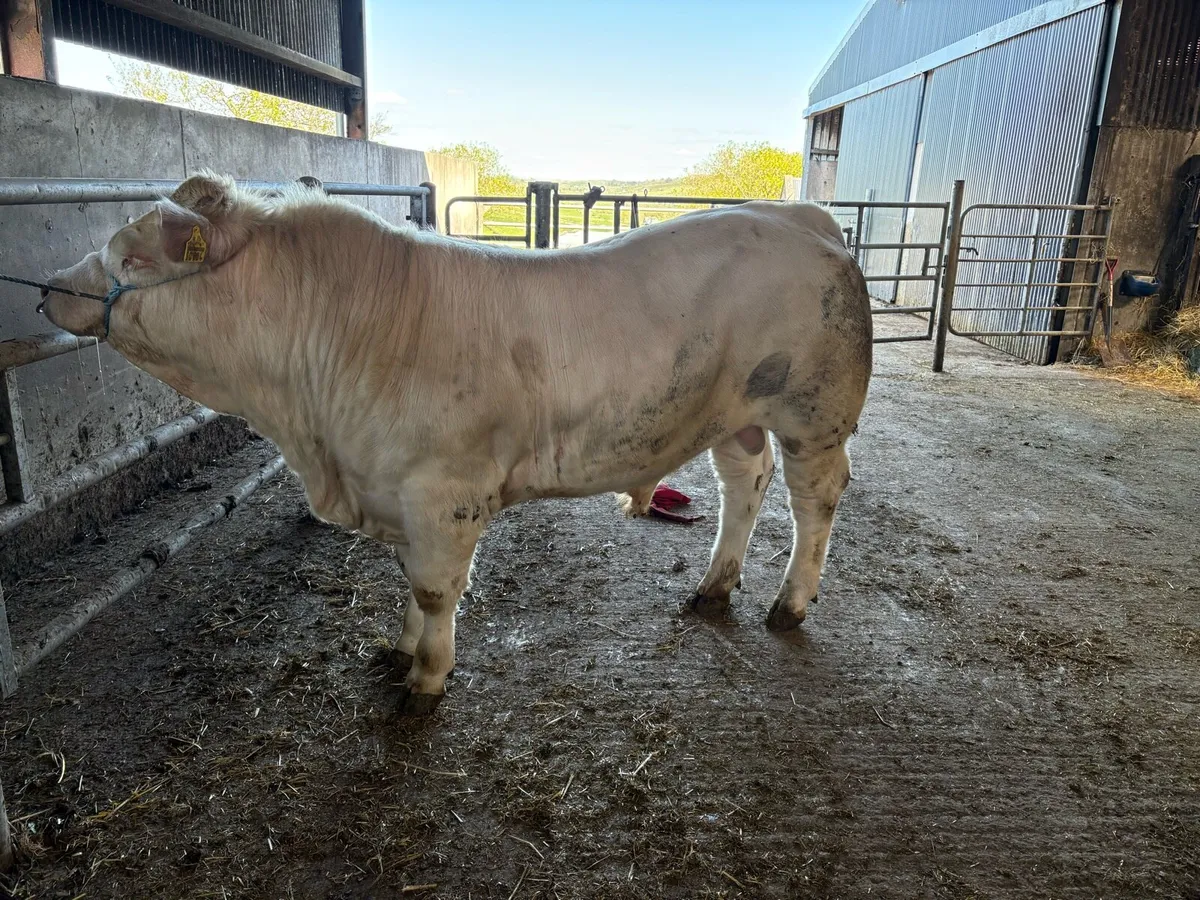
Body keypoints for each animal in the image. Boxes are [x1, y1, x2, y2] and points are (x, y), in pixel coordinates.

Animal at [40, 173, 872, 716]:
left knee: (815, 501)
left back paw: (790, 602)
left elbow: (438, 588)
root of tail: (804, 216)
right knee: (744, 482)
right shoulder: (395, 492)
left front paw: (427, 680)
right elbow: (410, 583)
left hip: (814, 415)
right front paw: (401, 649)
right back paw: (715, 585)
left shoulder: (446, 493)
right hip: (735, 413)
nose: (47, 286)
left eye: (130, 259)